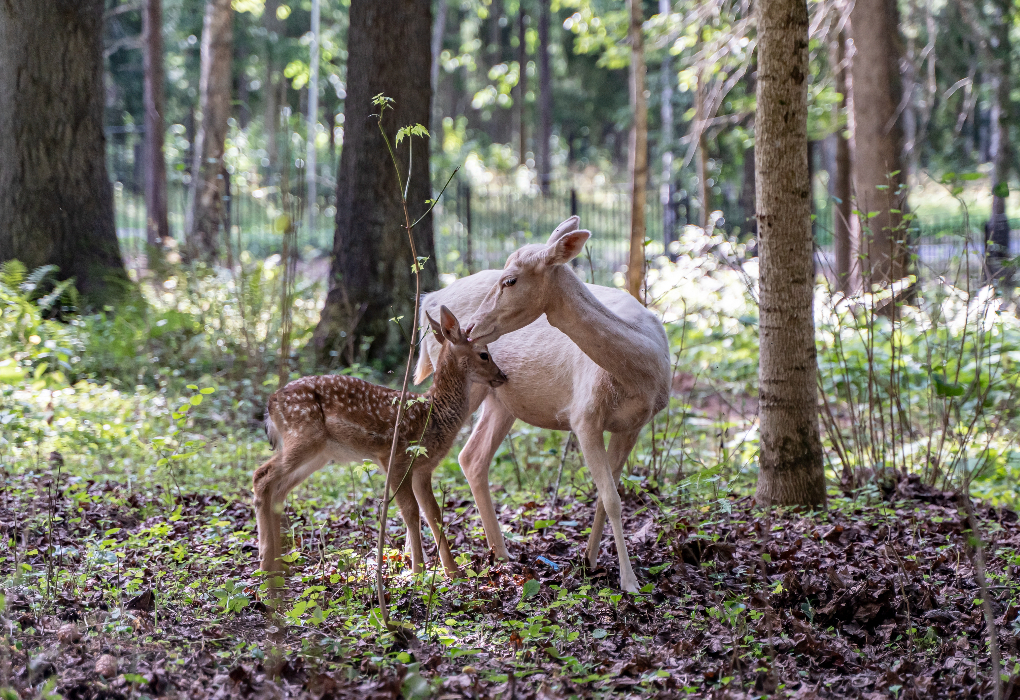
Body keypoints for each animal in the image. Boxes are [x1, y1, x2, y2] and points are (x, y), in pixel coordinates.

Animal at [255, 310, 505, 579]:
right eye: (484, 354)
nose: (503, 376)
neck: (432, 415)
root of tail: (270, 404)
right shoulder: (395, 458)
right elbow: (410, 511)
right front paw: (417, 571)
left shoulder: (423, 468)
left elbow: (433, 513)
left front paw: (453, 572)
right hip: (303, 435)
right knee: (262, 476)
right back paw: (265, 563)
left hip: (318, 453)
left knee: (279, 489)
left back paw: (276, 563)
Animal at [414, 218, 669, 591]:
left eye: (510, 280)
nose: (470, 327)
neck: (642, 374)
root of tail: (428, 300)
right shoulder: (583, 415)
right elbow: (612, 498)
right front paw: (629, 582)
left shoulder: (633, 425)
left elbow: (606, 497)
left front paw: (590, 561)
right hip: (462, 386)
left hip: (501, 399)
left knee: (472, 457)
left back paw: (499, 555)